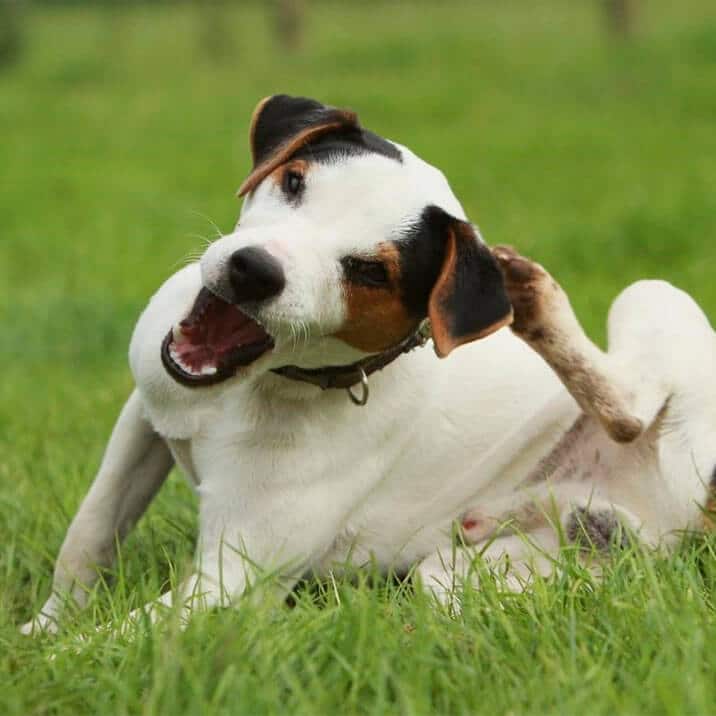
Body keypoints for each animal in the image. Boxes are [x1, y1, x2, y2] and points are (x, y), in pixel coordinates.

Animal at [21, 93, 716, 632]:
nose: (252, 270)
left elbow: (113, 637)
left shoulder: (233, 581)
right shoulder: (145, 414)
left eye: (370, 272)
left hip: (654, 302)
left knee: (628, 410)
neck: (249, 390)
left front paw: (43, 657)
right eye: (293, 181)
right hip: (470, 575)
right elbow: (89, 534)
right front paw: (45, 623)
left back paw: (537, 301)